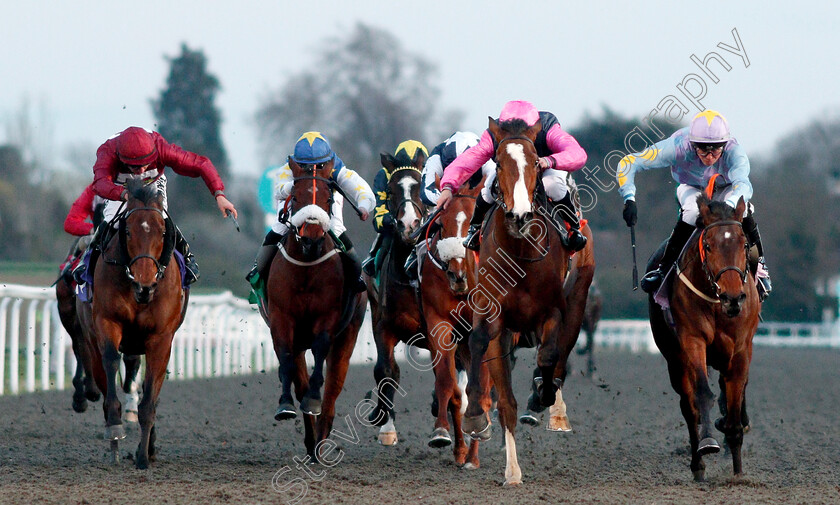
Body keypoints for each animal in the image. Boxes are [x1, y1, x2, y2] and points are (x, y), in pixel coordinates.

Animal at [76, 178, 187, 468]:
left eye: (162, 231)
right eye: (127, 232)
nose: (144, 284)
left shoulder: (161, 338)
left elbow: (149, 399)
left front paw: (143, 455)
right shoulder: (107, 323)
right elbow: (111, 360)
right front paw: (115, 428)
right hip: (91, 337)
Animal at [266, 156, 364, 458]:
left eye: (328, 197)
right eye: (296, 197)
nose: (310, 238)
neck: (307, 267)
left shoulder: (327, 317)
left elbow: (320, 352)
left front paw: (313, 400)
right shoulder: (281, 318)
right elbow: (286, 358)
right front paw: (285, 404)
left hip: (348, 336)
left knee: (332, 388)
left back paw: (321, 436)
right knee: (299, 375)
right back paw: (311, 440)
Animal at [462, 118, 592, 484]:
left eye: (535, 162)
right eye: (497, 163)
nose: (519, 215)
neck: (520, 252)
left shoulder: (553, 312)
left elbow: (548, 356)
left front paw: (542, 394)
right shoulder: (494, 316)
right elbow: (499, 388)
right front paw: (477, 420)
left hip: (578, 301)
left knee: (559, 356)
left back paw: (548, 400)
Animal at [648, 194, 760, 480]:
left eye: (745, 244)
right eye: (708, 246)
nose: (733, 298)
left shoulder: (741, 348)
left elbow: (734, 398)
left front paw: (738, 472)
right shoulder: (693, 341)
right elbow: (701, 394)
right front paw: (708, 443)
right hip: (674, 359)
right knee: (688, 406)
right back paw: (697, 463)